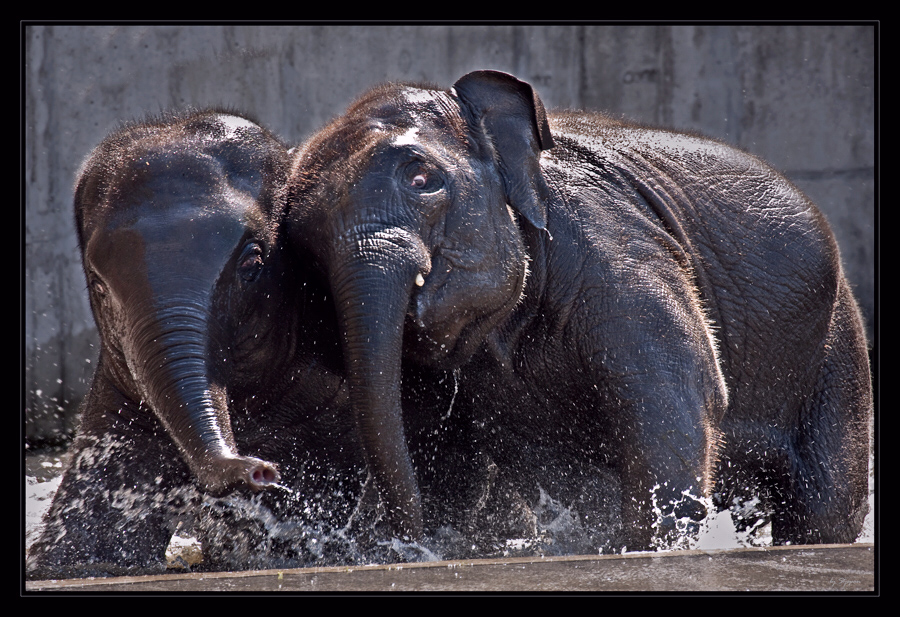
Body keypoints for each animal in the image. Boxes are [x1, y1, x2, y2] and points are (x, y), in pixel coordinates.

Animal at [286, 70, 872, 552]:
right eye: (306, 242)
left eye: (422, 180)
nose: (408, 544)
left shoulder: (614, 250)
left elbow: (679, 409)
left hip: (837, 349)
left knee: (823, 505)